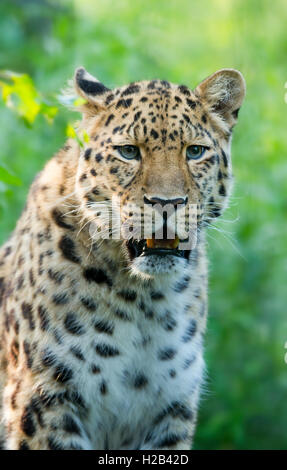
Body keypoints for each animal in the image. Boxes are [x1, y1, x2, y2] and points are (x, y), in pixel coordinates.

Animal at [0, 67, 245, 452]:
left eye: (195, 152)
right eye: (129, 152)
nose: (166, 203)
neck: (144, 300)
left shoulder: (170, 411)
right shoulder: (44, 404)